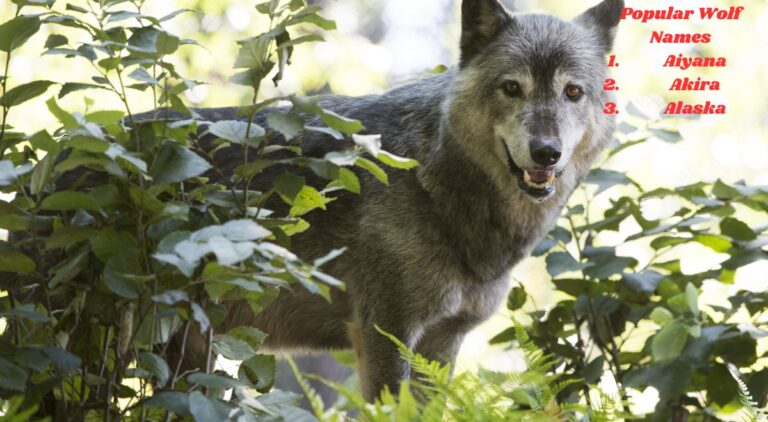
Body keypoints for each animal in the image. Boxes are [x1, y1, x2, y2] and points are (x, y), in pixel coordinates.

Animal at [175, 0, 624, 401]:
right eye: (512, 87)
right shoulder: (385, 334)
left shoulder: (442, 343)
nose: (546, 152)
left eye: (572, 92)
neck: (431, 180)